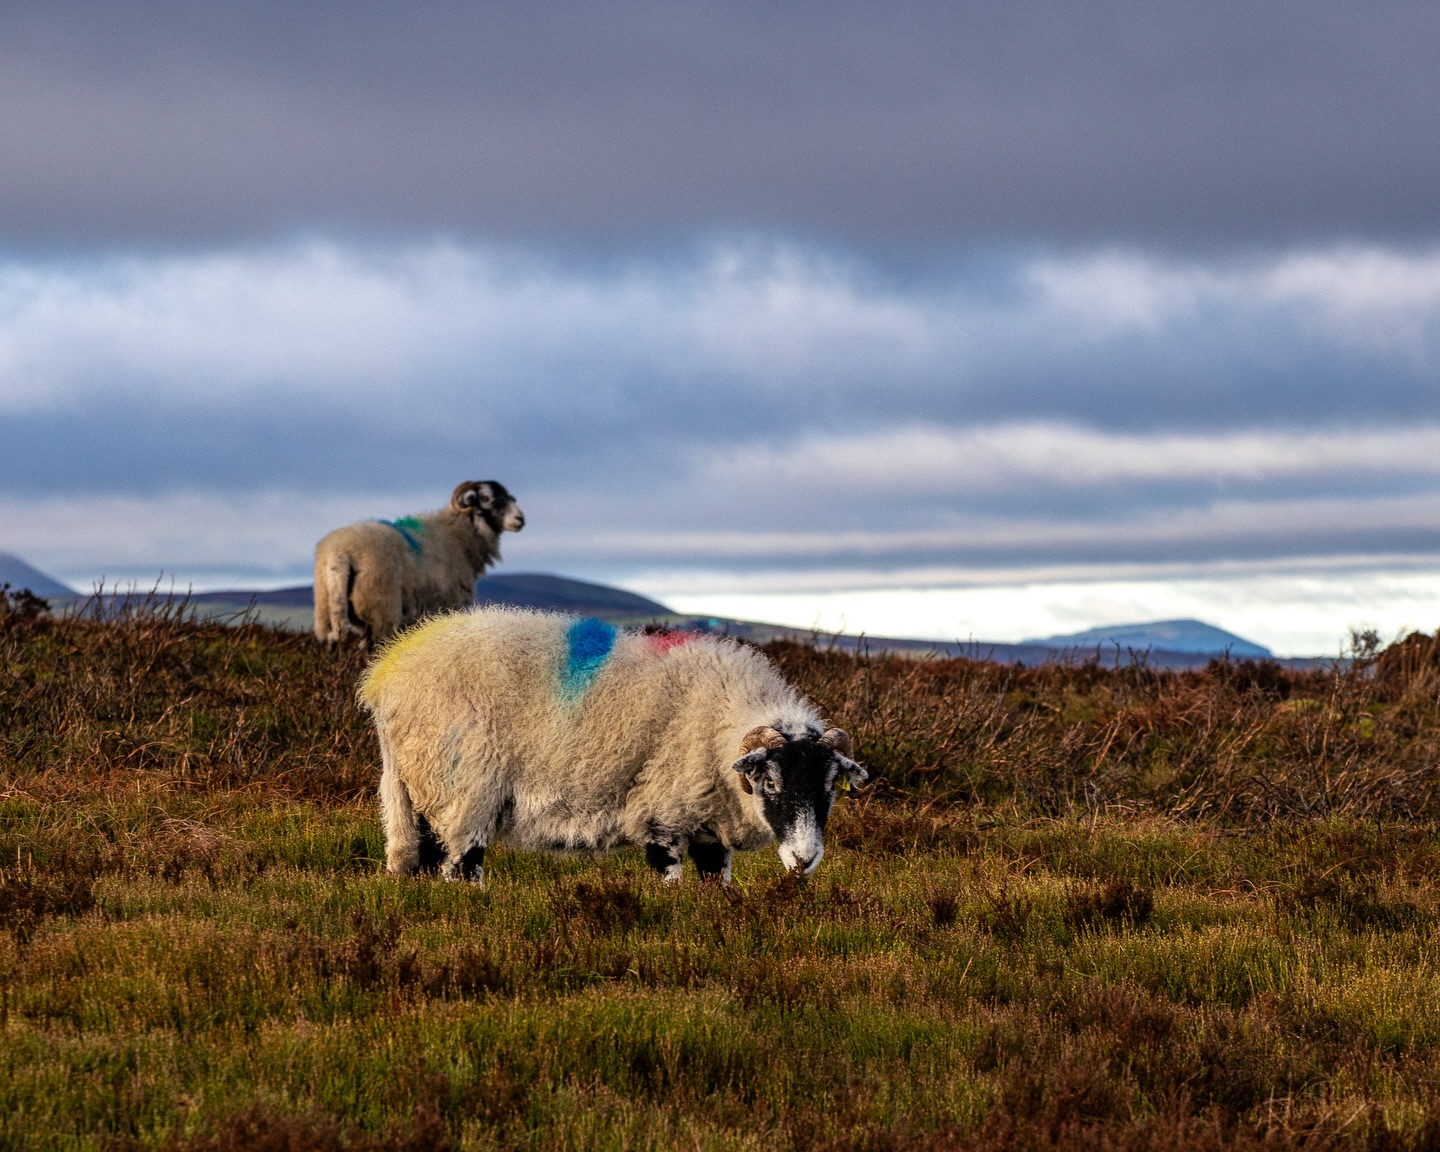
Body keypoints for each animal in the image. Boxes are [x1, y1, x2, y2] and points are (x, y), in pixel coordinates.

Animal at [313, 480, 524, 650]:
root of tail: (340, 552)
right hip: (381, 609)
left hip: (326, 612)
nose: (520, 519)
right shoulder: (447, 607)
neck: (458, 535)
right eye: (486, 498)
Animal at [358, 607, 867, 884]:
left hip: (421, 788)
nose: (804, 860)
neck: (720, 714)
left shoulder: (707, 825)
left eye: (831, 788)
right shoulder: (662, 812)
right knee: (462, 865)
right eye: (772, 783)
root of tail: (386, 675)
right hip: (464, 787)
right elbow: (670, 881)